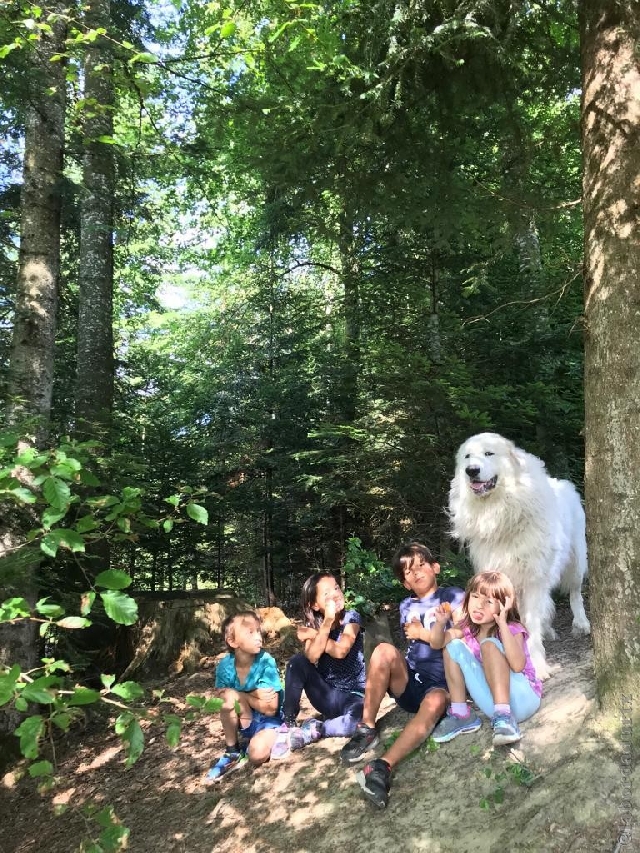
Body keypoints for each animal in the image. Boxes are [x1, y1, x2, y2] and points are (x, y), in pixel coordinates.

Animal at [450, 432, 592, 680]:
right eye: (467, 456)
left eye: (489, 453)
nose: (471, 470)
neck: (500, 511)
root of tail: (563, 483)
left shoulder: (533, 579)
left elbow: (529, 623)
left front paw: (537, 665)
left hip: (575, 562)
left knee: (575, 594)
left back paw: (581, 623)